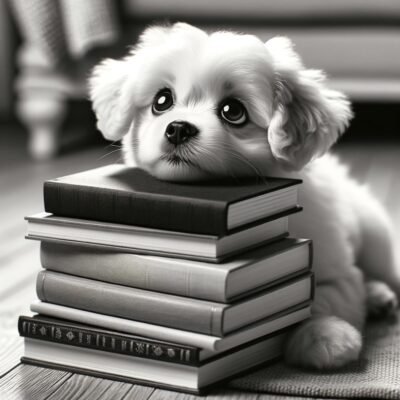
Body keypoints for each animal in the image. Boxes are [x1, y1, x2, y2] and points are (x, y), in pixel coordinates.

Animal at [88, 23, 400, 370]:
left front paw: (322, 336)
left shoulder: (338, 269)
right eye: (162, 101)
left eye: (232, 111)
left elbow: (322, 296)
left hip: (376, 236)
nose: (178, 128)